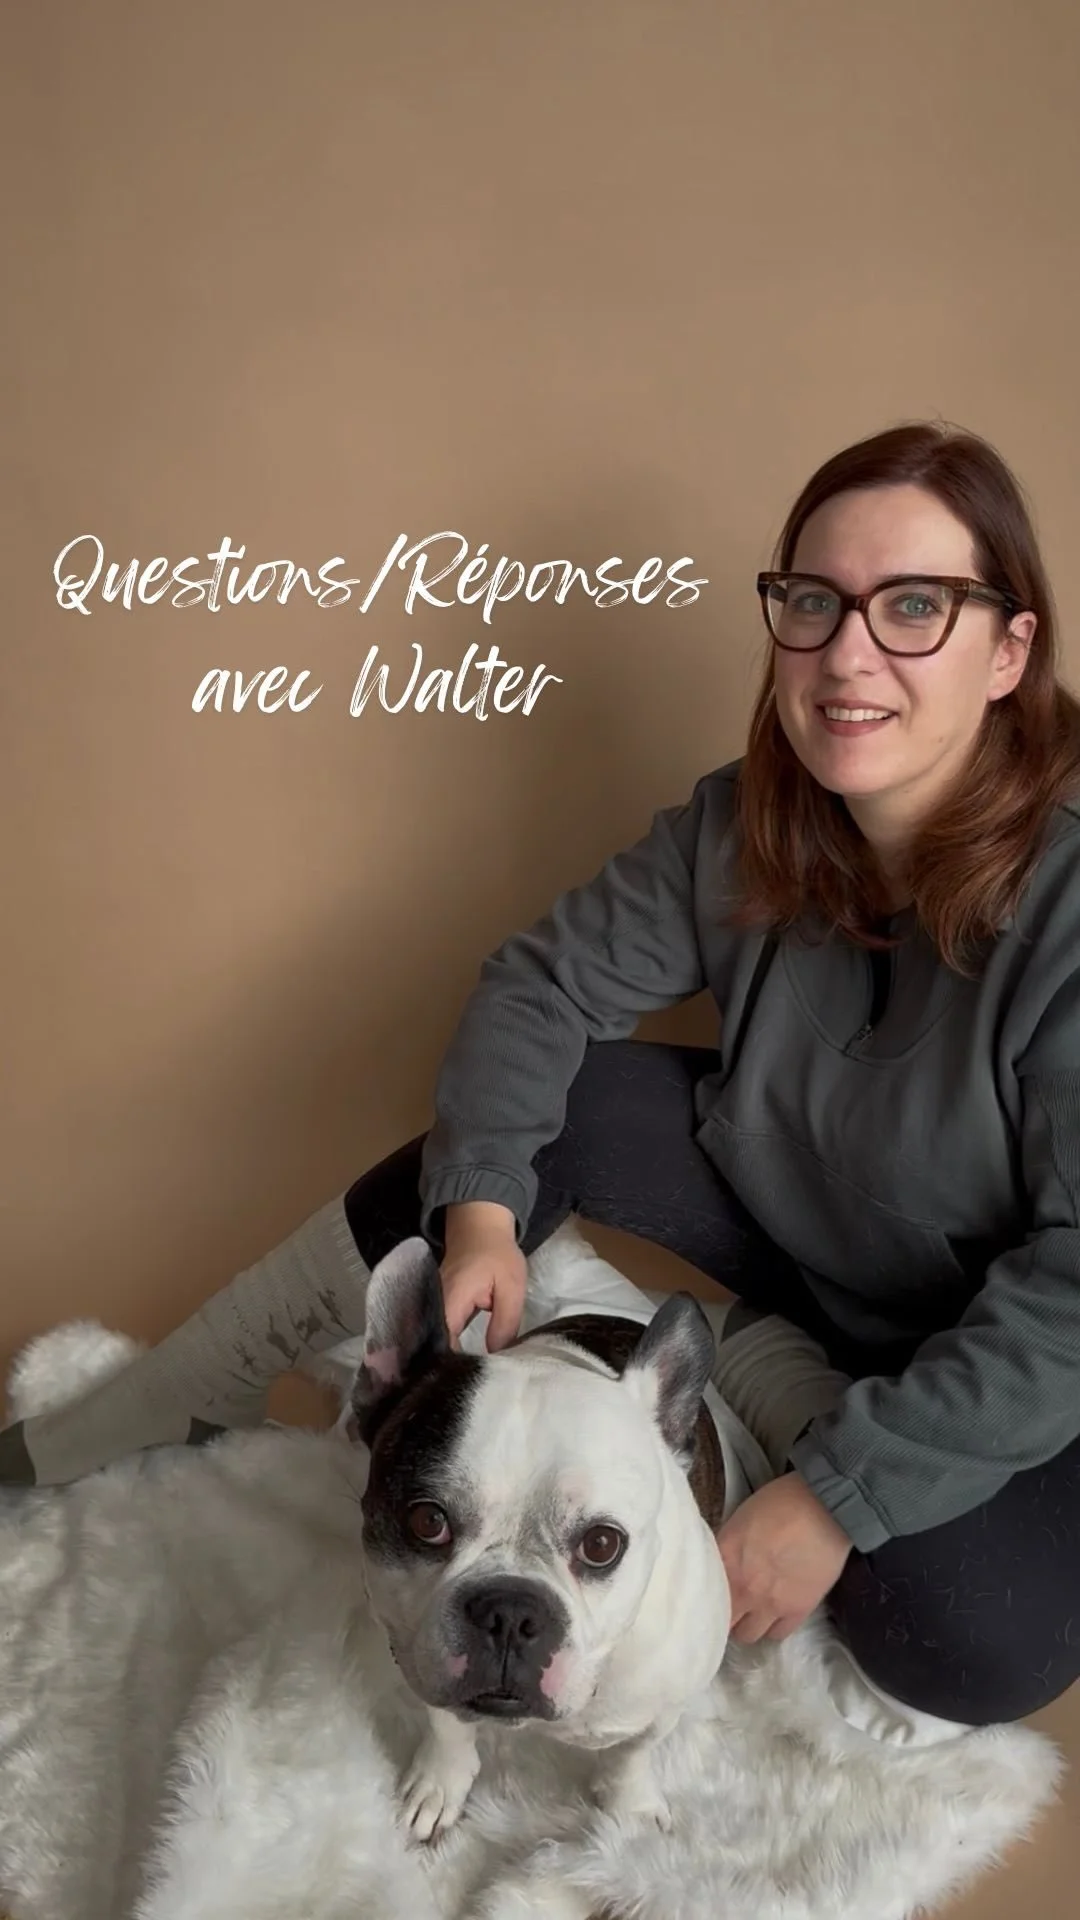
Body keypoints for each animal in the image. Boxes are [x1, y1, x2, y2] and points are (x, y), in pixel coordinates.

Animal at [347, 1235, 732, 1843]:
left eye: (602, 1545)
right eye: (427, 1522)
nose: (509, 1611)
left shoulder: (663, 1707)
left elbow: (633, 1755)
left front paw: (630, 1807)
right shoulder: (417, 1653)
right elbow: (446, 1725)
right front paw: (441, 1782)